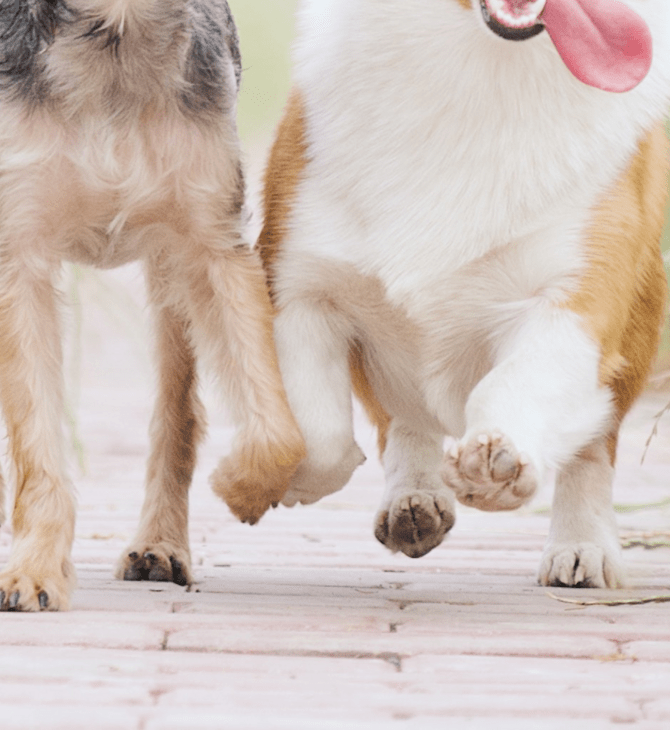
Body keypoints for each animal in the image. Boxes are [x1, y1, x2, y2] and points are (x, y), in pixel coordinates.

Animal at [262, 0, 670, 584]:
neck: (484, 66)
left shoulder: (573, 308)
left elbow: (514, 384)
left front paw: (496, 466)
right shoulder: (301, 290)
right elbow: (321, 435)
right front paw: (295, 476)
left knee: (591, 451)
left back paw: (582, 546)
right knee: (404, 419)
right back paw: (414, 497)